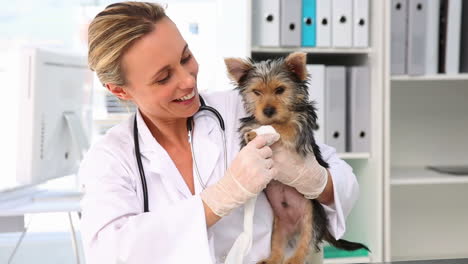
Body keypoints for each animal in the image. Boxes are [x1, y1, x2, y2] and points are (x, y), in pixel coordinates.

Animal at [224, 52, 370, 264]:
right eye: (256, 92)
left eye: (280, 90)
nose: (268, 111)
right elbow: (253, 130)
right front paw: (254, 133)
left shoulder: (298, 128)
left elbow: (284, 126)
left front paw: (267, 130)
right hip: (279, 226)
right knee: (278, 246)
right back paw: (272, 259)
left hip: (311, 216)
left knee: (307, 241)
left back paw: (295, 258)